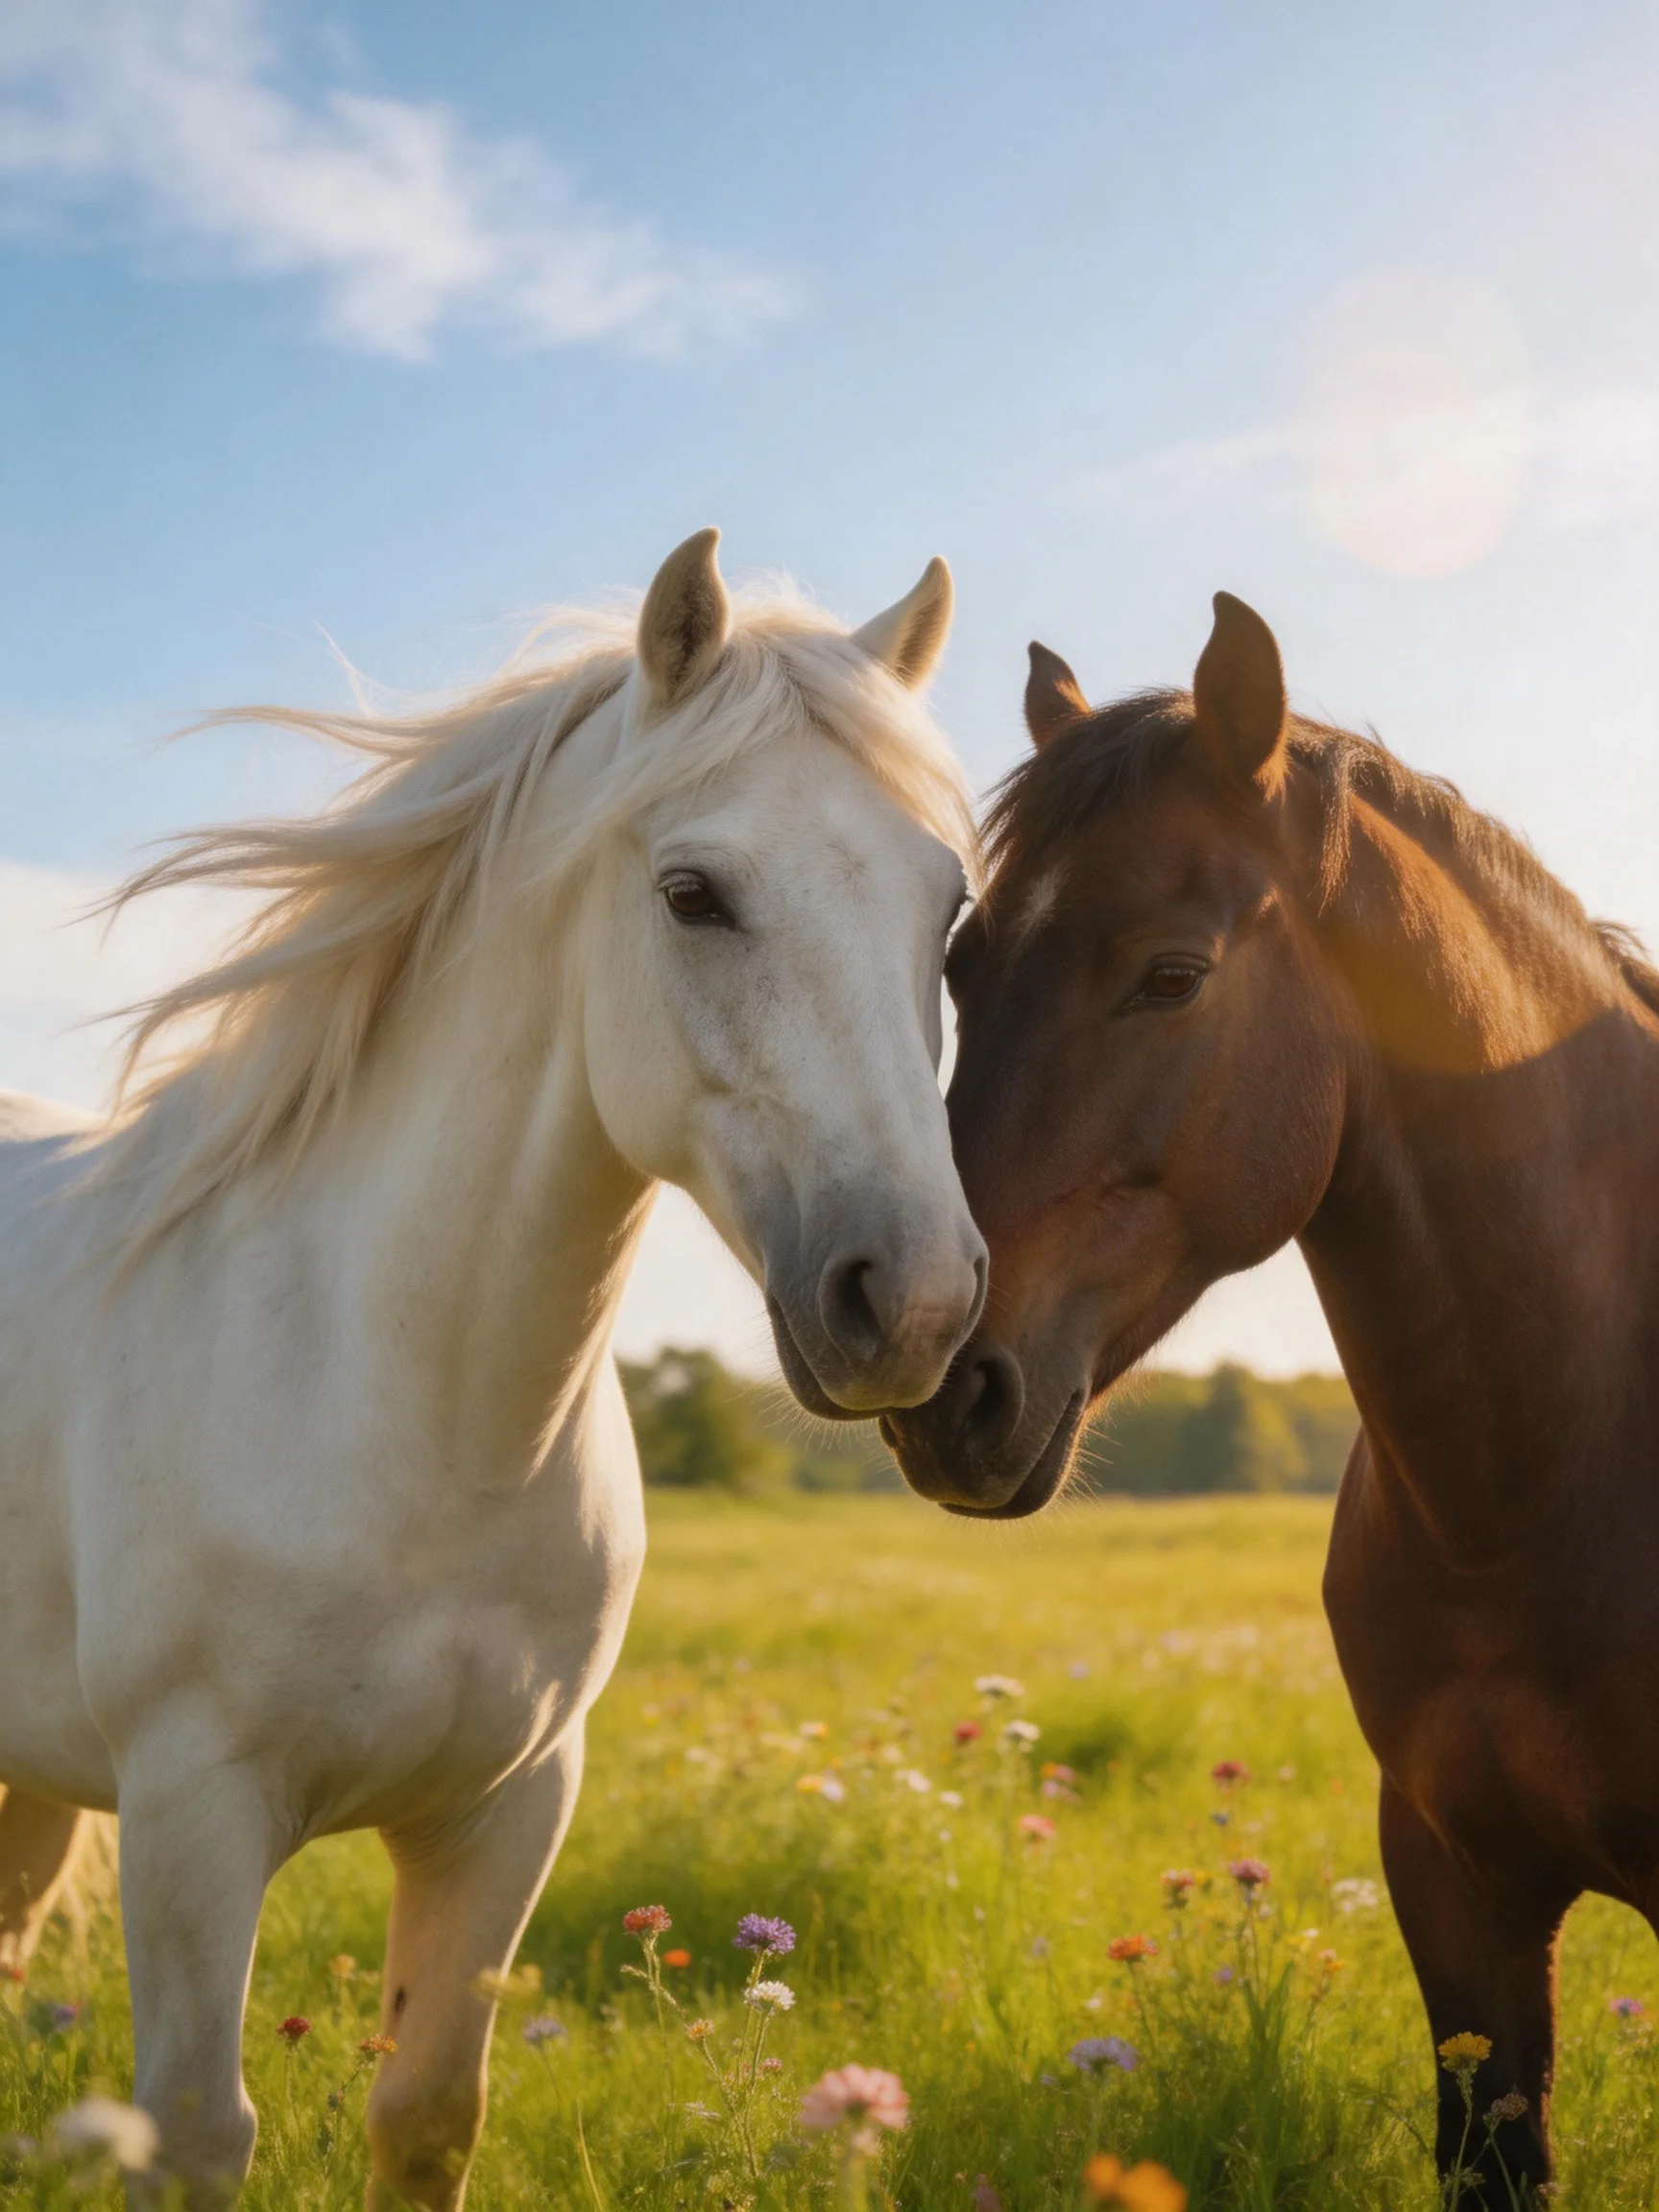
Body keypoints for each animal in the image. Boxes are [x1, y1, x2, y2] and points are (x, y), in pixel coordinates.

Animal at [0, 527, 987, 2208]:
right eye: (692, 893)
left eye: (950, 917)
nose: (911, 1302)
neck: (393, 1406)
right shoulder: (191, 1817)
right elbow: (195, 2130)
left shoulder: (506, 1811)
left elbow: (426, 2112)